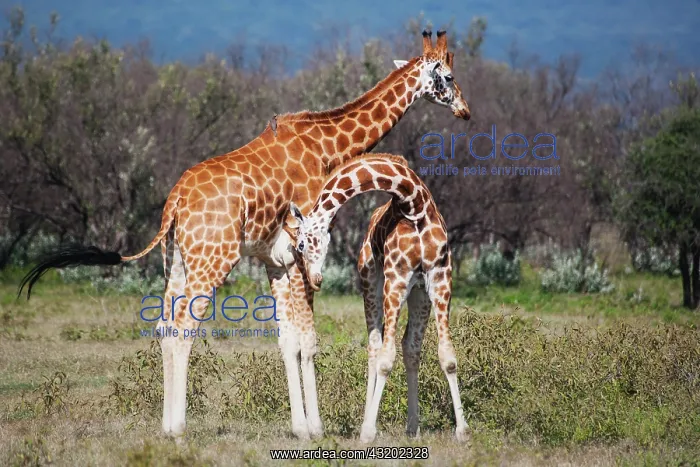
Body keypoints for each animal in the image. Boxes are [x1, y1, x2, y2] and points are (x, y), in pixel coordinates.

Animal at [286, 153, 468, 443]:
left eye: (301, 244)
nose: (314, 280)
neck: (414, 203)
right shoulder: (396, 279)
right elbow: (384, 359)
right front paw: (369, 431)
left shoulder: (440, 278)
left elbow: (448, 357)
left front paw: (462, 431)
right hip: (372, 284)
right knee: (374, 347)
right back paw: (366, 424)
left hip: (419, 293)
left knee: (410, 347)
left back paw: (413, 427)